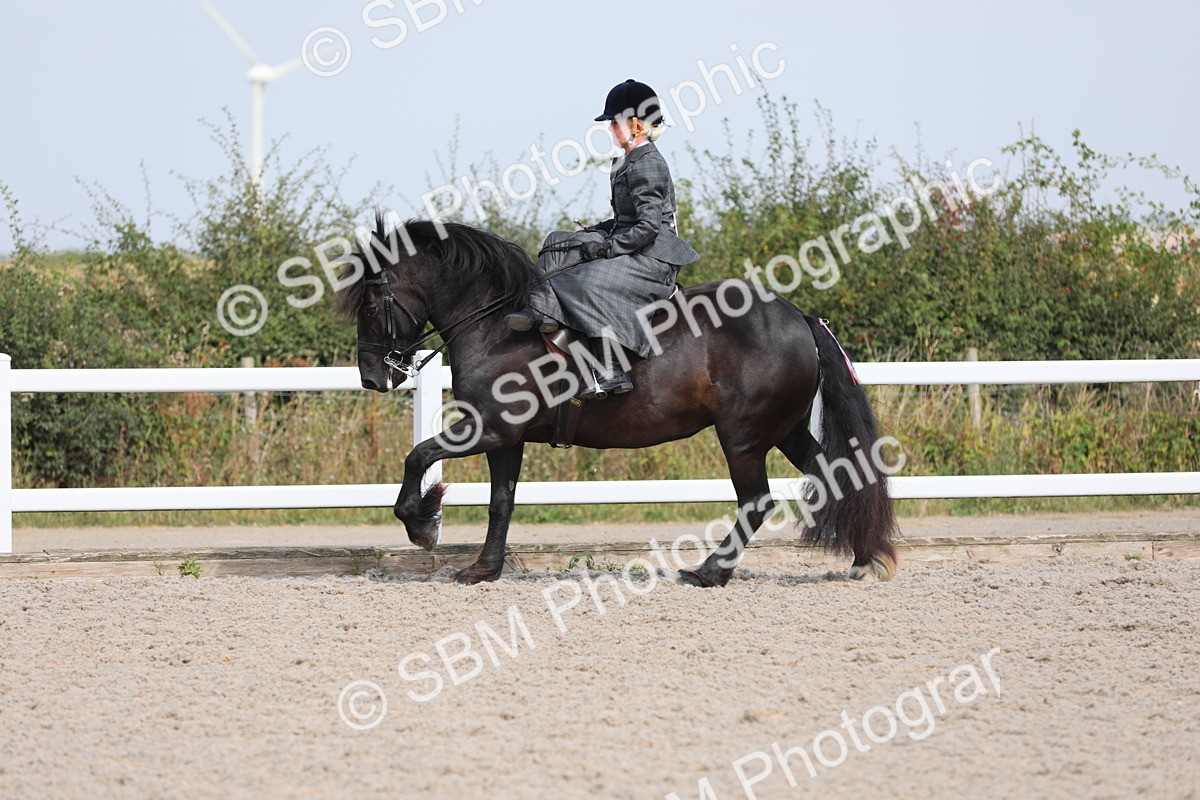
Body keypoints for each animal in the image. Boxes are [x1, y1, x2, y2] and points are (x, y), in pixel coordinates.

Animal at [335, 215, 898, 586]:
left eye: (372, 301)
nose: (371, 377)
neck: (496, 325)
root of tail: (796, 315)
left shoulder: (489, 428)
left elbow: (418, 456)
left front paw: (422, 524)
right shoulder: (506, 438)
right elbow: (501, 502)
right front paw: (483, 569)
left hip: (743, 436)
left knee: (756, 500)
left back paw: (708, 573)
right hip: (784, 431)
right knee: (841, 475)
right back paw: (864, 559)